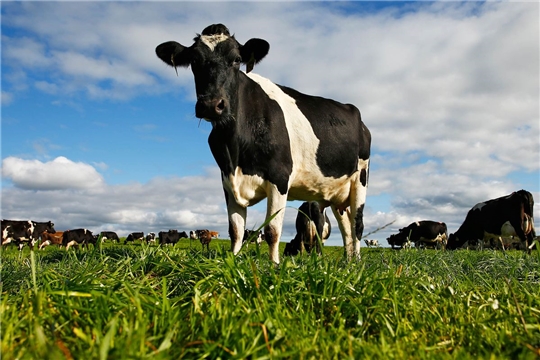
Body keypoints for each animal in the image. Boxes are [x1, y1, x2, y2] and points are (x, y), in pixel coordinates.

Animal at [154, 23, 370, 264]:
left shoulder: (280, 176)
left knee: (357, 225)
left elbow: (272, 230)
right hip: (335, 193)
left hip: (361, 177)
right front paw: (233, 261)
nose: (211, 104)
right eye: (193, 60)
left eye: (236, 59)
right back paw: (348, 262)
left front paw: (274, 265)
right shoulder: (227, 181)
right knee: (346, 228)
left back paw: (357, 262)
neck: (234, 147)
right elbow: (236, 230)